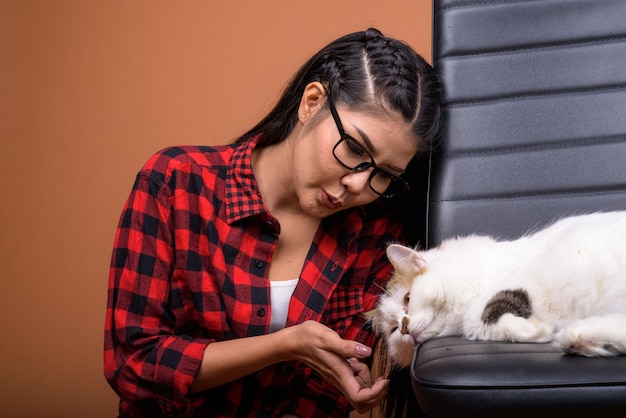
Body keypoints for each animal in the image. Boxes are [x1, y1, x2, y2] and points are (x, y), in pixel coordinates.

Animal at [366, 212, 624, 366]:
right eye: (394, 330)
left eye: (407, 299)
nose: (404, 327)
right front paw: (538, 331)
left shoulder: (524, 279)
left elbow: (481, 315)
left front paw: (537, 330)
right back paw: (581, 341)